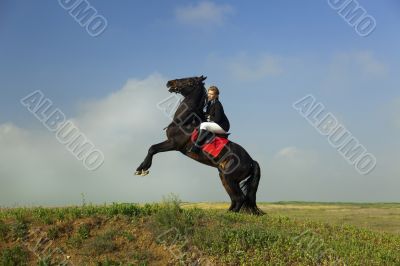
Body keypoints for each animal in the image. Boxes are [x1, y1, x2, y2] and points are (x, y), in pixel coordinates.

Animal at [136, 75, 264, 216]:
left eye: (189, 81)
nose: (169, 82)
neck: (184, 121)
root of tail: (251, 161)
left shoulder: (174, 144)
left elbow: (152, 148)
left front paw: (142, 169)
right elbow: (152, 148)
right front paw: (141, 168)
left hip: (229, 177)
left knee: (239, 198)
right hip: (224, 177)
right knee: (235, 199)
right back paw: (226, 213)